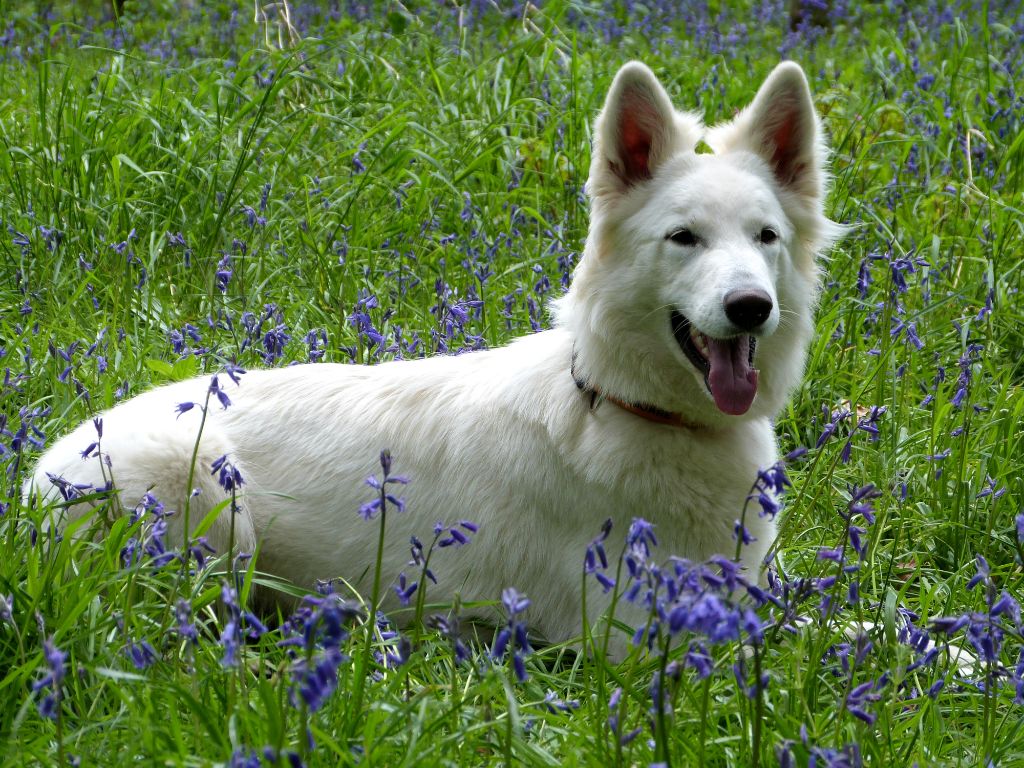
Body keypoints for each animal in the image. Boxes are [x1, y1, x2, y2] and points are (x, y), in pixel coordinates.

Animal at [29, 61, 839, 651]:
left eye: (765, 236)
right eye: (684, 238)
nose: (750, 307)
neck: (621, 403)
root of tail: (39, 474)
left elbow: (838, 621)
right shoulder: (645, 636)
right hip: (207, 496)